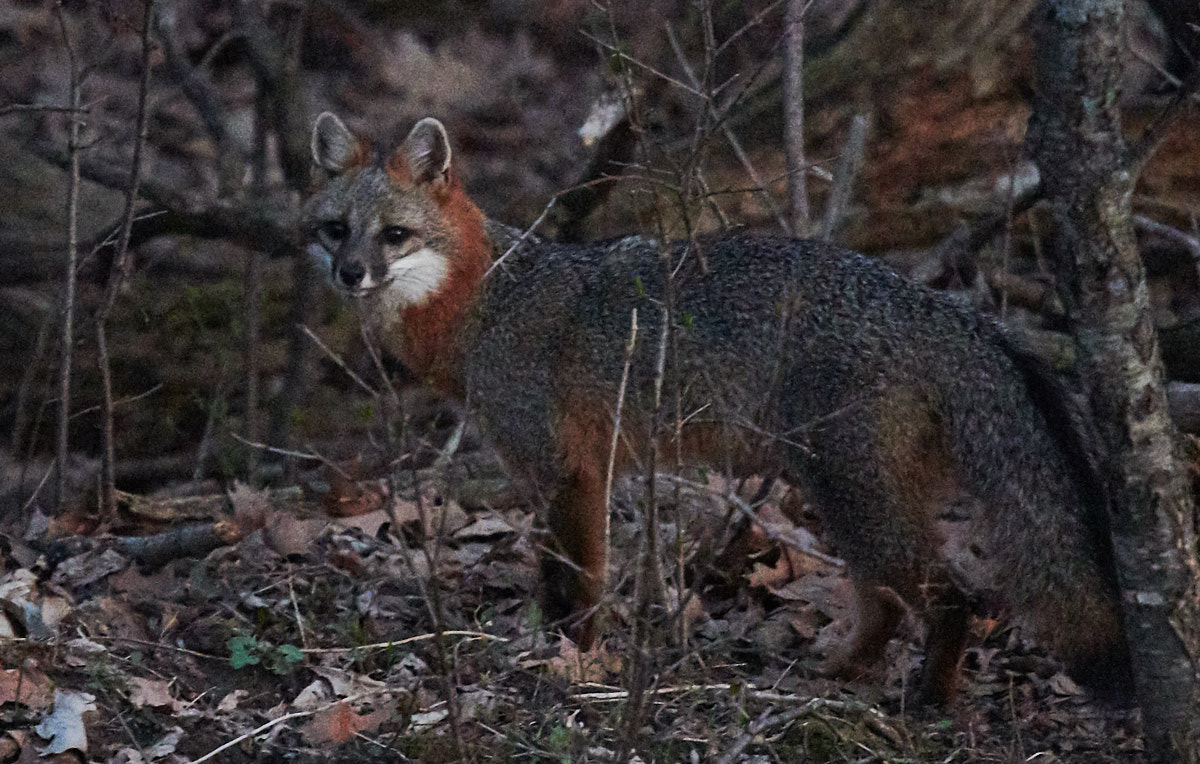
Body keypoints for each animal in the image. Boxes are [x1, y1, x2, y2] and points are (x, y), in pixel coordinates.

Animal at [303, 111, 1133, 705]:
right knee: (891, 606)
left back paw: (926, 702)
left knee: (954, 598)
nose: (349, 274)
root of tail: (939, 304)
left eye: (395, 235)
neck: (484, 301)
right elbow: (553, 576)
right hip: (848, 499)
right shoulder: (556, 476)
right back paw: (843, 673)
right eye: (336, 229)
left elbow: (578, 588)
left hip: (857, 499)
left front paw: (575, 660)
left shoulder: (570, 474)